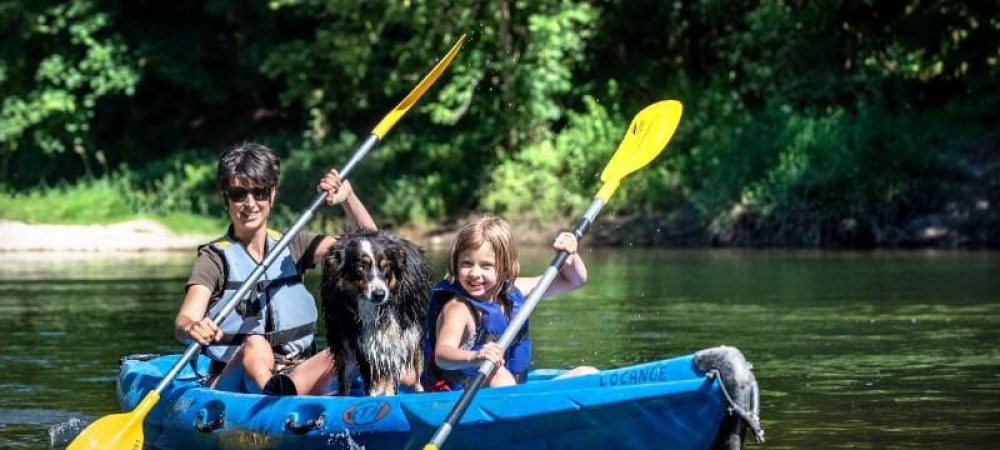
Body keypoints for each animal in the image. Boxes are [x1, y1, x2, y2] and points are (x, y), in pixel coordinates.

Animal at [320, 230, 430, 396]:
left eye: (386, 267)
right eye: (360, 268)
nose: (379, 294)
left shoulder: (397, 337)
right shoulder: (360, 339)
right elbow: (371, 378)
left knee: (417, 364)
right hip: (339, 335)